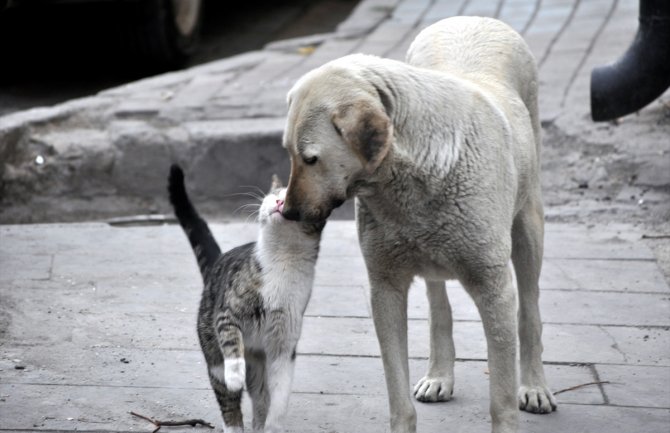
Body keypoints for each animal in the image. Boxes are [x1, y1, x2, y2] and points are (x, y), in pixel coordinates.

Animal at [168, 165, 326, 432]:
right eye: (275, 194)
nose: (280, 201)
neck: (283, 258)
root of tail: (217, 263)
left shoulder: (284, 343)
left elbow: (281, 394)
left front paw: (275, 425)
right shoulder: (228, 312)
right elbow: (232, 342)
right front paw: (235, 374)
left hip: (260, 373)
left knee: (261, 399)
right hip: (212, 352)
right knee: (229, 403)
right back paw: (233, 420)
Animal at [282, 16, 556, 432]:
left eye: (311, 159)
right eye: (288, 153)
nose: (288, 214)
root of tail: (470, 17)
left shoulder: (494, 289)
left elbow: (502, 398)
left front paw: (515, 400)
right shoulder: (384, 288)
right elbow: (397, 392)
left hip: (528, 227)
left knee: (530, 309)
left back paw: (535, 384)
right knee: (437, 305)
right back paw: (440, 374)